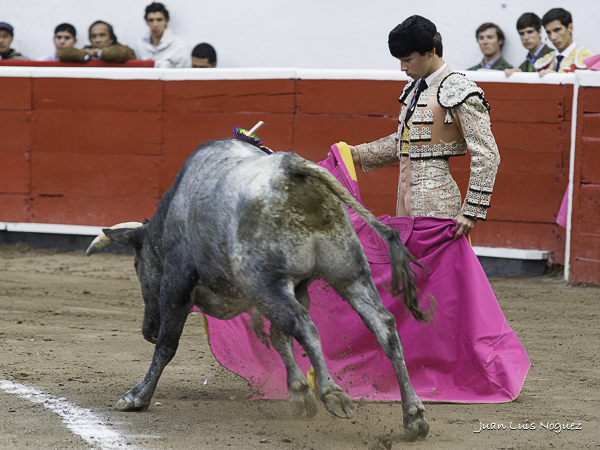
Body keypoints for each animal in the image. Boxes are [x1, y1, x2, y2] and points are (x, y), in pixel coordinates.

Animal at [85, 138, 432, 440]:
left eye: (137, 264)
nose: (148, 330)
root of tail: (291, 168)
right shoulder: (297, 287)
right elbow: (280, 338)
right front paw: (299, 394)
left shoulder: (177, 282)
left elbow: (168, 345)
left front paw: (136, 397)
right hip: (348, 274)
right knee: (383, 327)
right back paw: (413, 416)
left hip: (265, 283)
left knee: (306, 325)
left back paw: (333, 394)